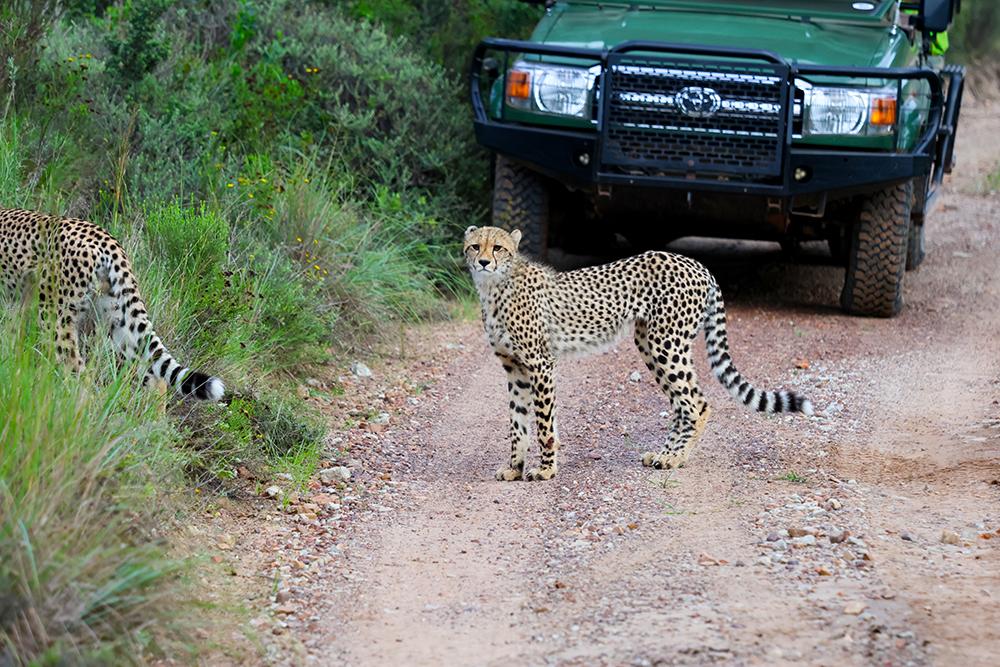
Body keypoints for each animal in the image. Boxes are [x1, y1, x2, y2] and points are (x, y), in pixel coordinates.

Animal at [0, 207, 224, 401]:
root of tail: (102, 235)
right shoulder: (14, 304)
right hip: (117, 319)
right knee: (152, 376)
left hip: (54, 317)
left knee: (79, 372)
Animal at [463, 225, 813, 482]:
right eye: (475, 246)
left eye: (498, 248)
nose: (483, 262)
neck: (495, 286)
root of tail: (697, 264)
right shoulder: (514, 368)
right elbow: (517, 423)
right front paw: (514, 468)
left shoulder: (540, 365)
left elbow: (544, 425)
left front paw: (546, 470)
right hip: (650, 344)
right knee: (681, 404)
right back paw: (664, 454)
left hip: (666, 343)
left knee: (697, 404)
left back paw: (674, 458)